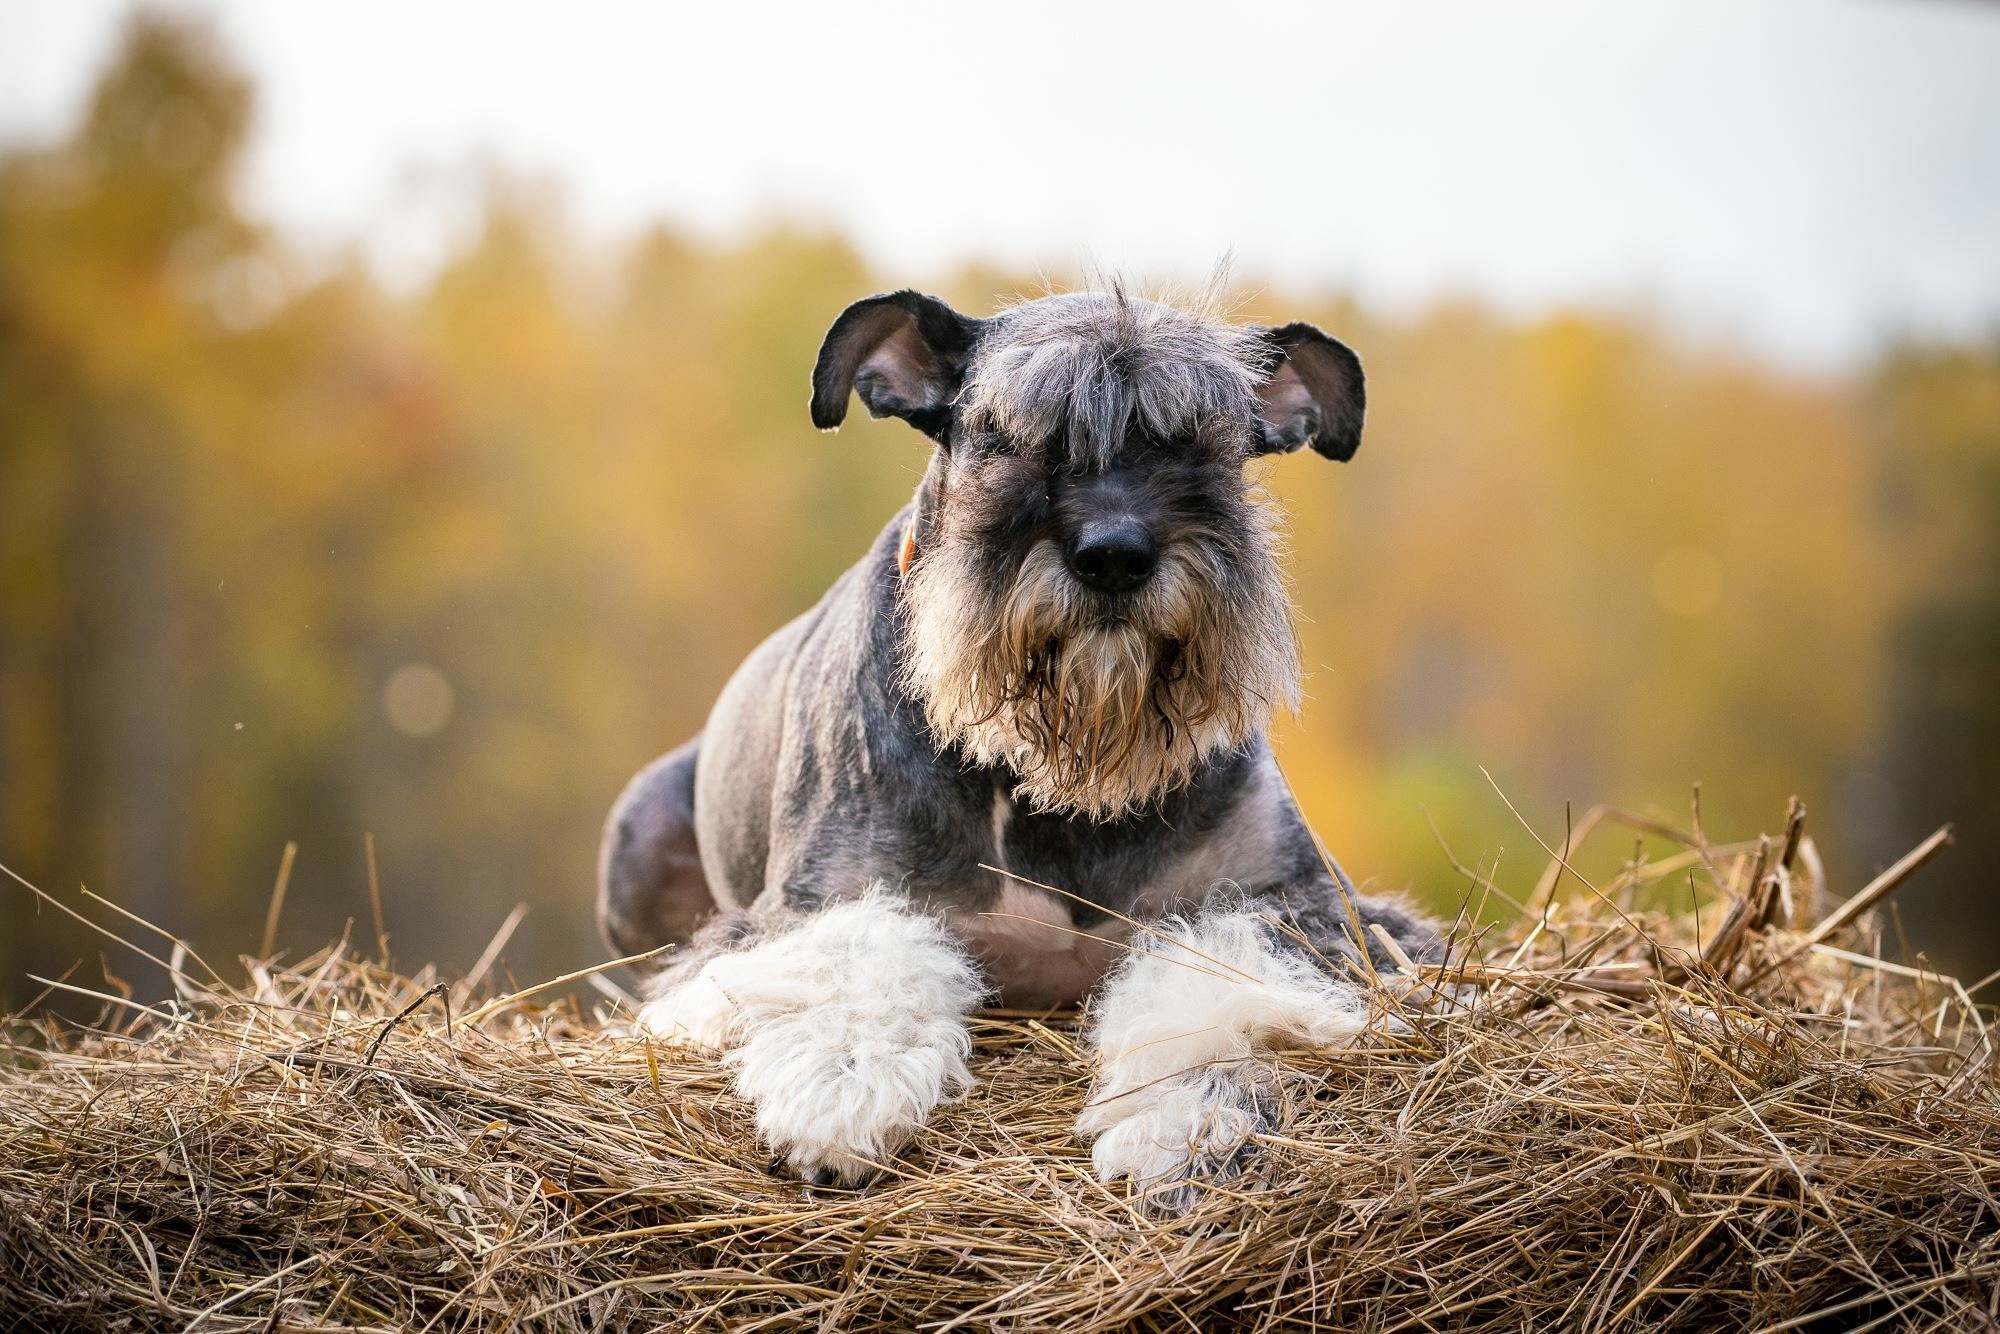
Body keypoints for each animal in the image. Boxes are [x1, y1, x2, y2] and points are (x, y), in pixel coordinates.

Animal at [600, 288, 1448, 1216]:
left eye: (1207, 440)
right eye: (1003, 434)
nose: (1114, 556)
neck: (1049, 773)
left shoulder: (1313, 908)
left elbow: (1218, 972)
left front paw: (1181, 1120)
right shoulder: (802, 908)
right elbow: (858, 951)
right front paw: (842, 1081)